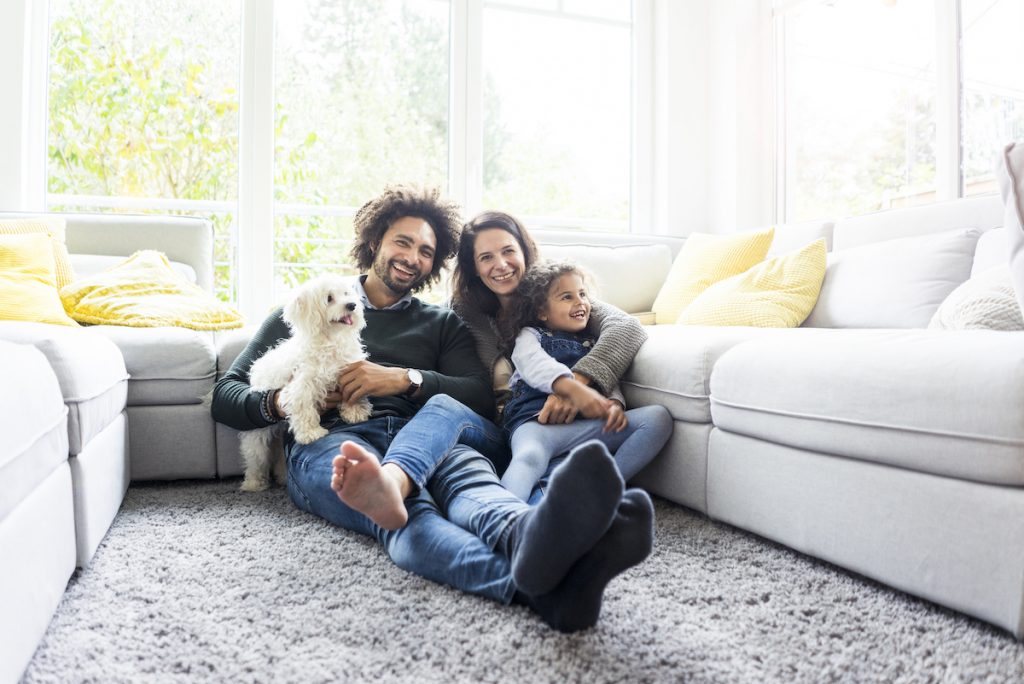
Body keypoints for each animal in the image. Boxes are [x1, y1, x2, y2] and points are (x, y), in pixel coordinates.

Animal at [241, 274, 374, 491]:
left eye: (346, 293)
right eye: (329, 298)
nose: (352, 305)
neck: (331, 340)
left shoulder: (350, 373)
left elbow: (352, 395)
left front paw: (355, 413)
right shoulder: (302, 385)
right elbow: (304, 408)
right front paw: (311, 433)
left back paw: (282, 477)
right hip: (258, 435)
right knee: (256, 457)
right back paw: (254, 483)